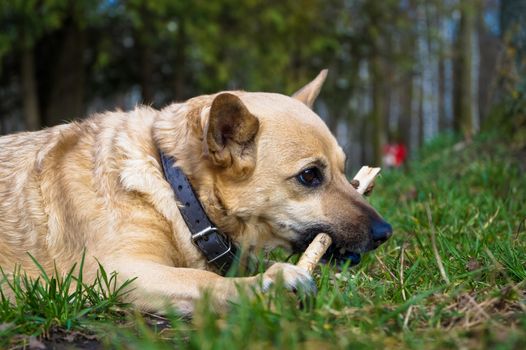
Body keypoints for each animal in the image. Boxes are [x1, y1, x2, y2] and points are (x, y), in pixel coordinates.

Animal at [0, 70, 392, 314]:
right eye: (310, 176)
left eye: (345, 170)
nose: (385, 232)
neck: (175, 186)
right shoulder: (115, 273)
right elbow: (202, 279)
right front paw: (268, 283)